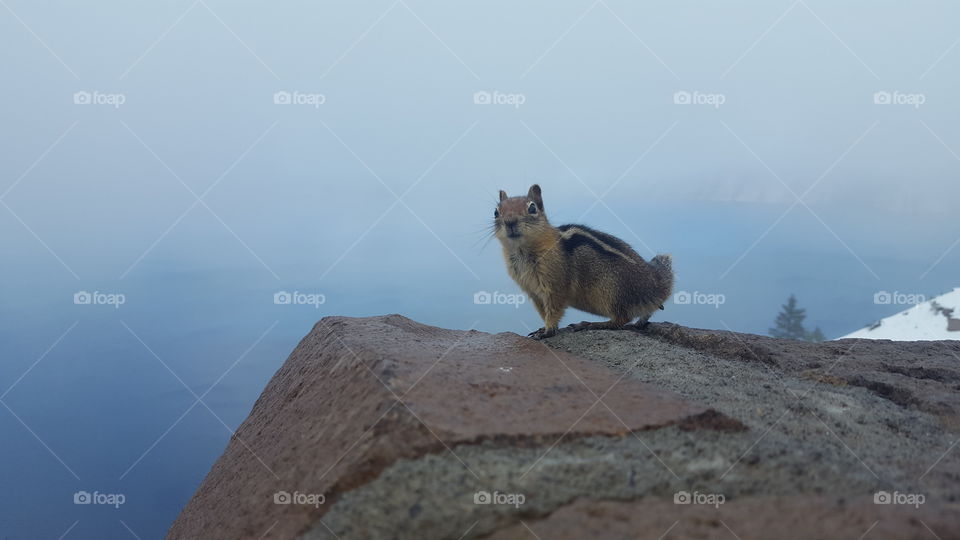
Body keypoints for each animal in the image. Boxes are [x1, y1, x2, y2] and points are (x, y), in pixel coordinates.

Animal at [493, 184, 674, 339]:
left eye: (532, 208)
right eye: (496, 212)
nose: (510, 222)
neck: (522, 251)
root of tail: (656, 284)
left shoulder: (555, 286)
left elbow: (554, 309)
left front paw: (548, 330)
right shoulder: (534, 293)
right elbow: (543, 311)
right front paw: (544, 328)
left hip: (611, 292)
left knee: (622, 319)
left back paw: (592, 324)